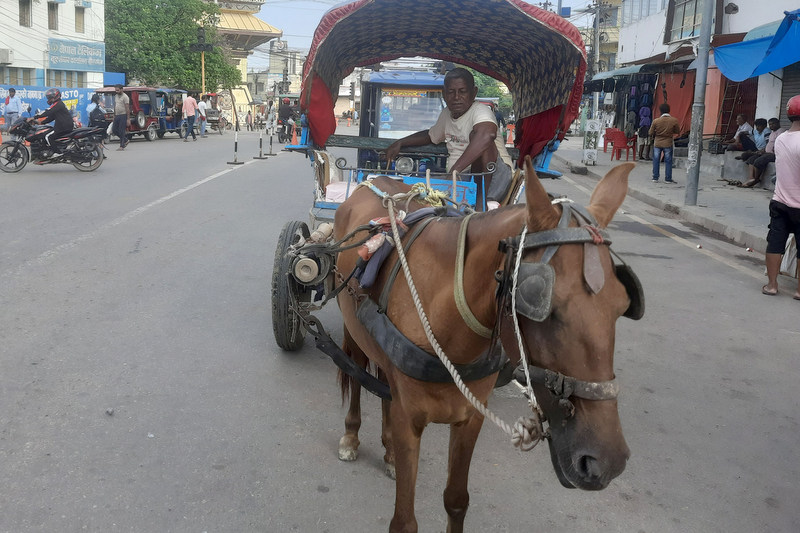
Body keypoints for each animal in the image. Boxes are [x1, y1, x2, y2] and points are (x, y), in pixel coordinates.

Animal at [332, 158, 636, 532]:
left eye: (623, 304)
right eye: (544, 305)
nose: (606, 461)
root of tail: (373, 182)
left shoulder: (470, 417)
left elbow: (456, 501)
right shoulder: (410, 420)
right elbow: (404, 522)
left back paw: (388, 452)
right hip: (352, 328)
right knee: (356, 374)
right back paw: (352, 436)